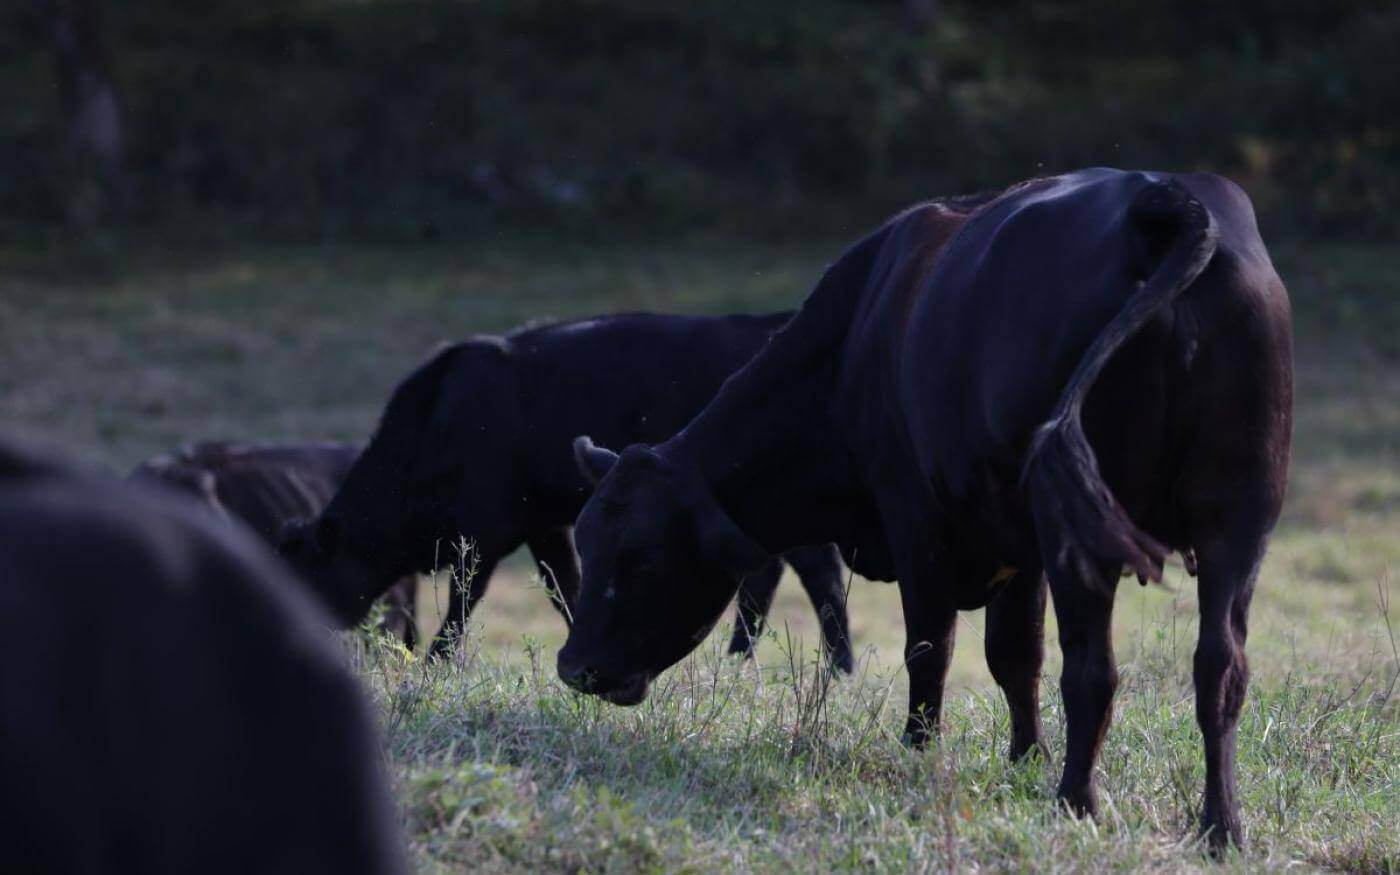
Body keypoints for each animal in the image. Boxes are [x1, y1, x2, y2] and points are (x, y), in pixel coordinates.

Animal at [278, 313, 854, 668]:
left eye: (309, 577)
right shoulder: (543, 524)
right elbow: (565, 587)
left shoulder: (485, 530)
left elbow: (465, 601)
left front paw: (436, 662)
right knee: (775, 570)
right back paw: (744, 659)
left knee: (816, 569)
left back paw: (835, 667)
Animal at [558, 168, 1292, 852]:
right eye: (586, 542)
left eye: (642, 556)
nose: (574, 665)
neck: (855, 342)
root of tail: (1162, 197)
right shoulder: (1015, 543)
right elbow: (1013, 655)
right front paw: (1025, 759)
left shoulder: (921, 527)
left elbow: (931, 651)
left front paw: (920, 754)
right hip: (1238, 517)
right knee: (1220, 666)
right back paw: (1221, 825)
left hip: (1084, 537)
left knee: (1092, 670)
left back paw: (1077, 802)